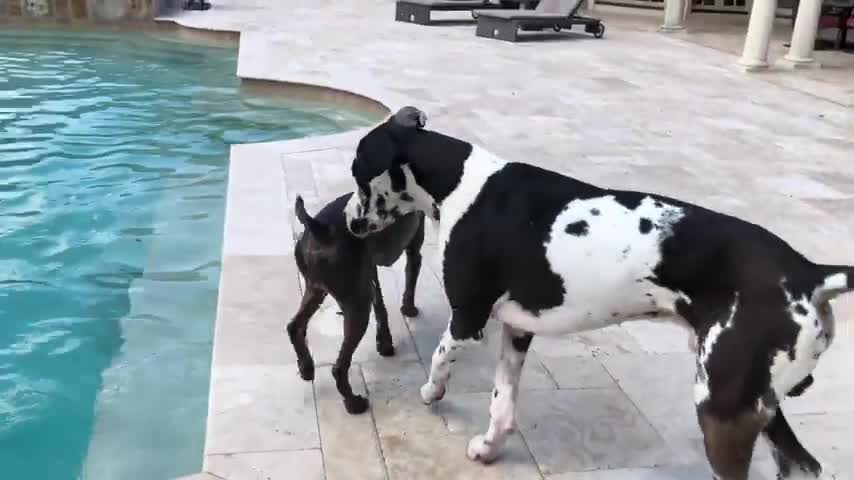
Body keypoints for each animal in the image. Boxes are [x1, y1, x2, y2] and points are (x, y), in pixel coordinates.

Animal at [288, 193, 424, 414]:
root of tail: (319, 229)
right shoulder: (414, 247)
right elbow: (410, 278)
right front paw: (409, 309)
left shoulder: (369, 271)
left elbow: (381, 305)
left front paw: (384, 342)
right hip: (356, 307)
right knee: (339, 368)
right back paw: (353, 403)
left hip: (317, 290)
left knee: (293, 326)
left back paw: (306, 367)